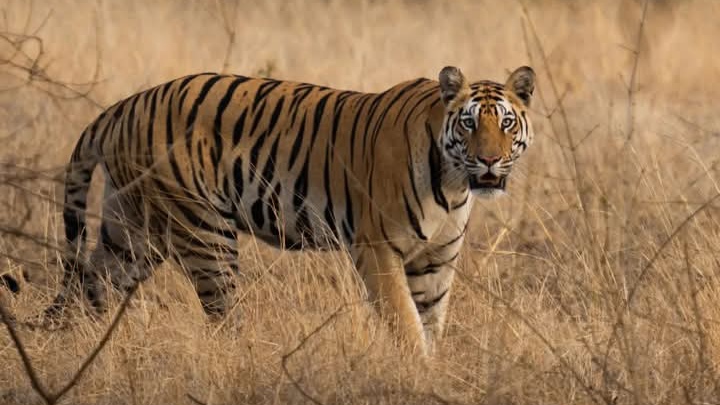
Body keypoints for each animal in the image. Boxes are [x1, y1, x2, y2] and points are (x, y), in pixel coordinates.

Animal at [44, 65, 535, 355]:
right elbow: (406, 324)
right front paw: (416, 373)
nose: (489, 160)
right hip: (204, 233)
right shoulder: (378, 248)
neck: (453, 183)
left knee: (89, 286)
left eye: (506, 123)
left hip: (133, 232)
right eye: (469, 123)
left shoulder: (436, 259)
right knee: (223, 316)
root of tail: (123, 106)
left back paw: (73, 346)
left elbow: (431, 322)